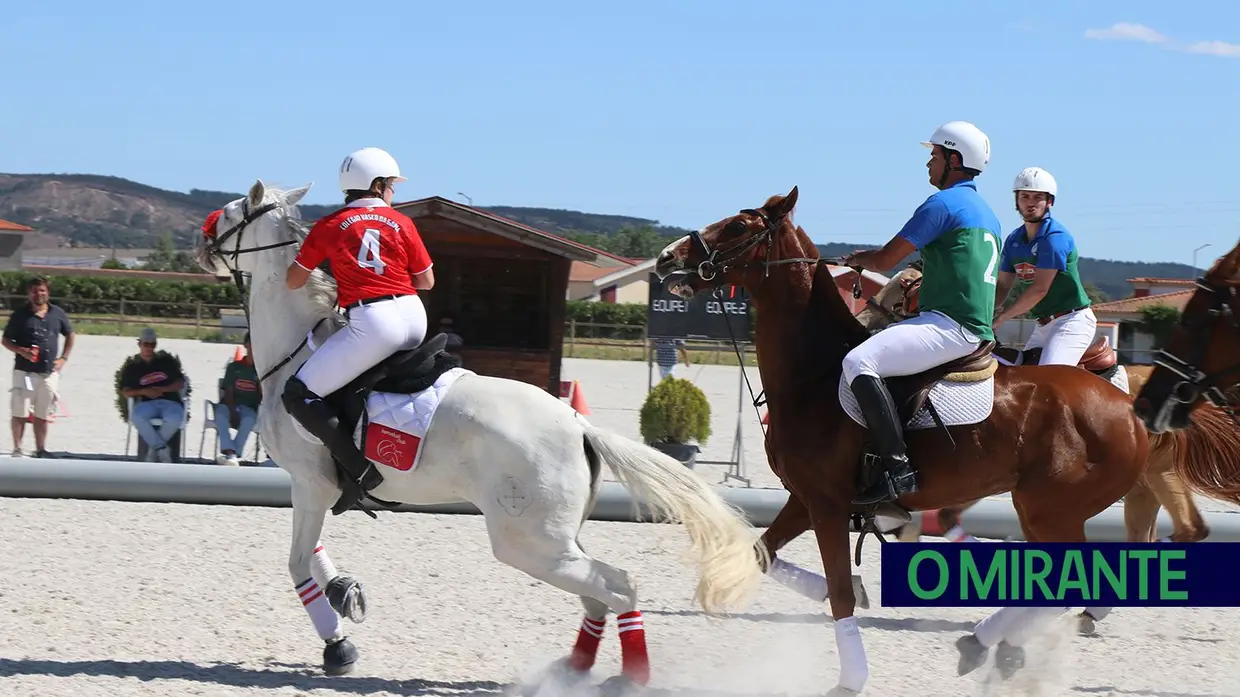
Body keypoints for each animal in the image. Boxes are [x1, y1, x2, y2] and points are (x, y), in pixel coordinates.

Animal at [195, 178, 763, 684]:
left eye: (228, 215)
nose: (201, 247)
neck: (296, 351)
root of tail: (578, 424)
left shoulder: (312, 482)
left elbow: (297, 564)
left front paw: (338, 644)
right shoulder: (309, 486)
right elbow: (312, 556)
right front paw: (344, 591)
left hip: (527, 541)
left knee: (618, 586)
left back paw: (628, 677)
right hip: (555, 539)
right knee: (595, 593)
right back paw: (572, 670)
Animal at [654, 187, 1145, 689]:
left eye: (737, 226)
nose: (666, 259)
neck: (814, 372)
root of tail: (1129, 409)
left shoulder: (827, 503)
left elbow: (839, 593)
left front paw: (850, 680)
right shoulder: (804, 499)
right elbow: (763, 553)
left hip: (1051, 511)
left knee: (1071, 583)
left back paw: (997, 640)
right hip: (1036, 511)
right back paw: (986, 642)